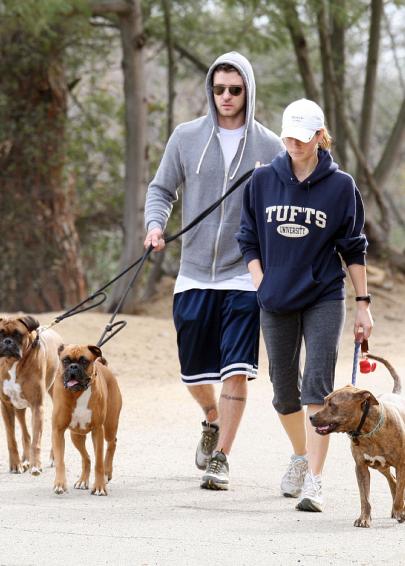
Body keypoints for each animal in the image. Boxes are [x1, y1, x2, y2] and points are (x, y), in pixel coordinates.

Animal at [0, 318, 62, 478]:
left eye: (17, 334)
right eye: (0, 333)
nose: (7, 341)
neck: (12, 363)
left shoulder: (37, 406)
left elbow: (36, 441)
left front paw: (36, 466)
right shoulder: (6, 405)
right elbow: (11, 439)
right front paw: (16, 465)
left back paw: (52, 458)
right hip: (18, 407)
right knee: (25, 434)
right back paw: (25, 460)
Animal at [52, 342, 121, 496]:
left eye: (84, 361)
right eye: (65, 360)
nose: (73, 366)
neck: (77, 393)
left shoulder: (97, 430)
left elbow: (99, 463)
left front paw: (100, 486)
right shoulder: (58, 431)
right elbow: (60, 461)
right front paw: (59, 484)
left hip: (109, 426)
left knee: (112, 443)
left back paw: (107, 472)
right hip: (76, 435)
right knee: (86, 458)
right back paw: (83, 480)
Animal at [308, 358, 402, 532]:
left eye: (332, 404)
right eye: (324, 401)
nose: (311, 417)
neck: (369, 431)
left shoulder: (402, 465)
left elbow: (400, 492)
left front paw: (401, 511)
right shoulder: (361, 468)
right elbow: (365, 498)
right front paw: (364, 519)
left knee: (397, 483)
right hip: (380, 466)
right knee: (392, 480)